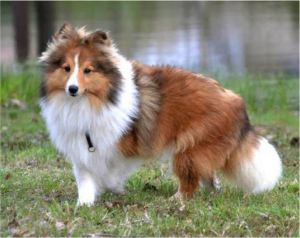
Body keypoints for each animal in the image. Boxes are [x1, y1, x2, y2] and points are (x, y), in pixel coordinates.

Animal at [39, 24, 282, 206]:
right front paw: (84, 204)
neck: (89, 102)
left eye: (87, 70)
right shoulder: (81, 147)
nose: (72, 89)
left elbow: (111, 174)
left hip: (188, 149)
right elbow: (86, 178)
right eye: (66, 68)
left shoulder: (124, 148)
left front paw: (112, 188)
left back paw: (176, 199)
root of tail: (235, 100)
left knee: (190, 182)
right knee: (209, 179)